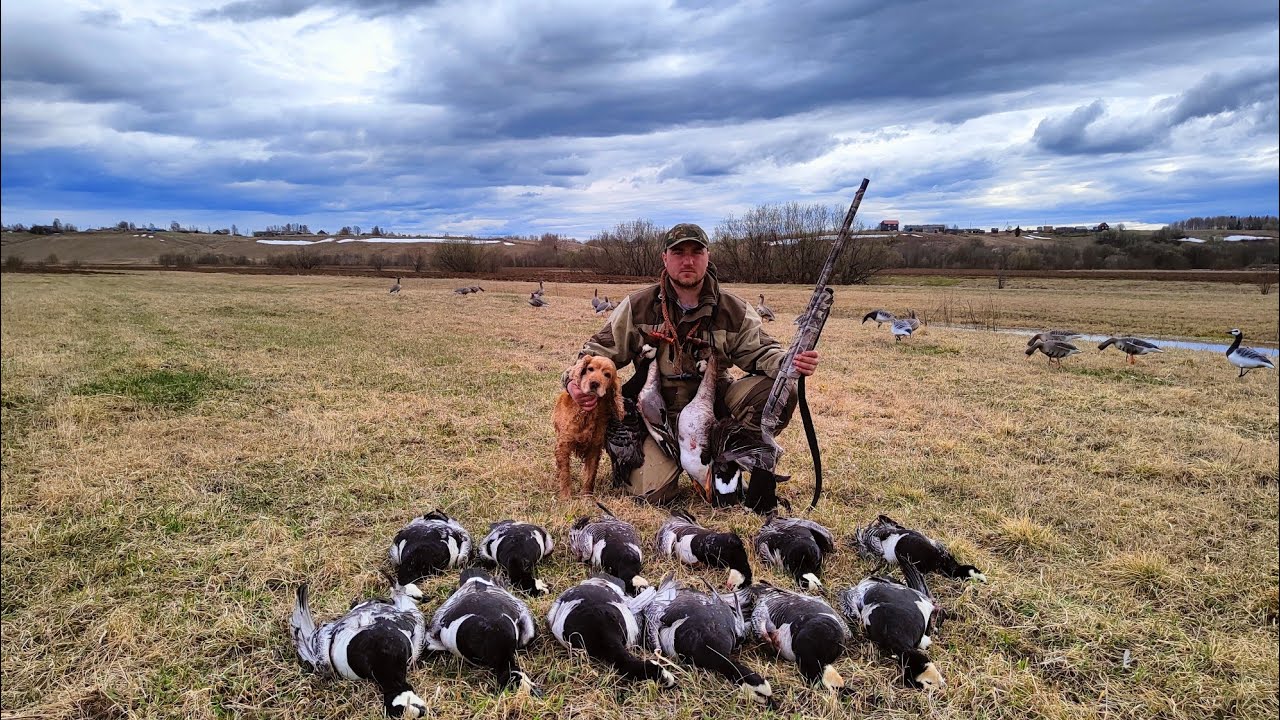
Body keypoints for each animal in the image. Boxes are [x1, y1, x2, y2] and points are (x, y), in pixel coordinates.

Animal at [553, 355, 625, 499]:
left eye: (607, 375)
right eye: (590, 369)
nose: (594, 383)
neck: (588, 414)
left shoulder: (594, 447)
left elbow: (590, 475)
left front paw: (586, 497)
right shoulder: (563, 445)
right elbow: (565, 474)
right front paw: (566, 497)